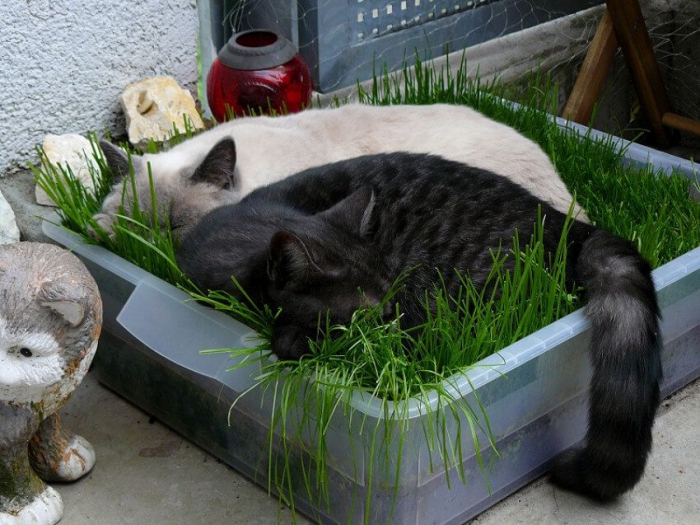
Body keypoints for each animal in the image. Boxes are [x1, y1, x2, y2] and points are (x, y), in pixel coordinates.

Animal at [176, 149, 660, 502]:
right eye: (370, 311)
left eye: (390, 294)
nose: (392, 321)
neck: (251, 234)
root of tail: (569, 227)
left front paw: (294, 339)